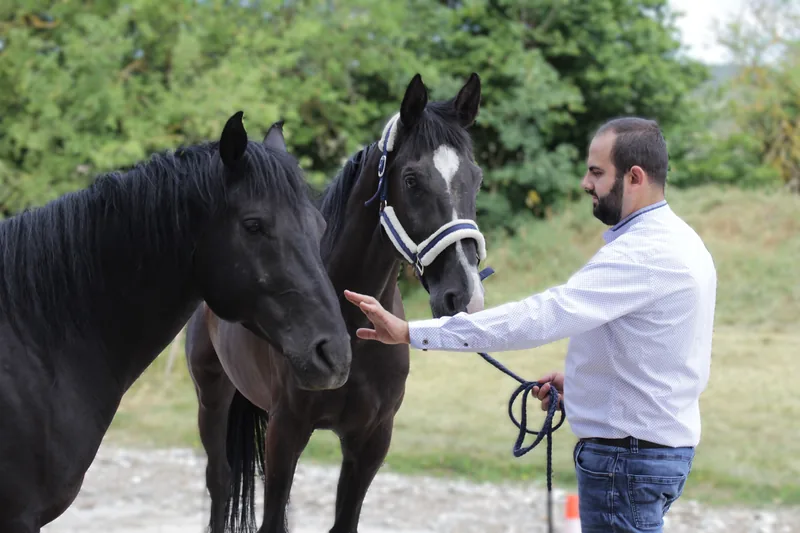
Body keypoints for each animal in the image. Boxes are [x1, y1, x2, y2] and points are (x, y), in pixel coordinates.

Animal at [186, 72, 489, 533]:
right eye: (412, 180)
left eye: (476, 177)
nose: (464, 294)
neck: (352, 330)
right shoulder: (286, 432)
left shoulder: (371, 441)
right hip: (212, 396)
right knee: (219, 482)